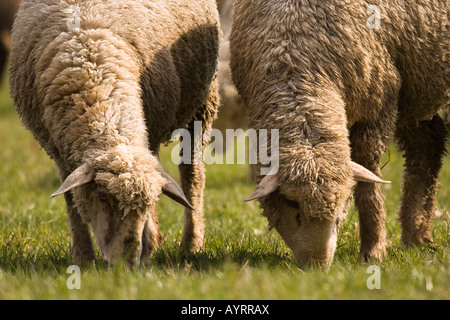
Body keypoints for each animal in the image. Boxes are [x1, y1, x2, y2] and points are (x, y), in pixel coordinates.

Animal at [9, 0, 221, 264]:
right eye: (102, 196)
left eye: (145, 204)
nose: (126, 262)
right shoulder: (58, 149)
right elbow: (71, 199)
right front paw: (84, 258)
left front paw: (148, 244)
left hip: (201, 105)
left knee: (192, 175)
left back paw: (191, 243)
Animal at [230, 0, 448, 268]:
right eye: (291, 202)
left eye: (343, 201)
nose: (317, 265)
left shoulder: (378, 105)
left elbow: (367, 181)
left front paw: (373, 250)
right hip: (417, 90)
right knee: (428, 144)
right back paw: (416, 237)